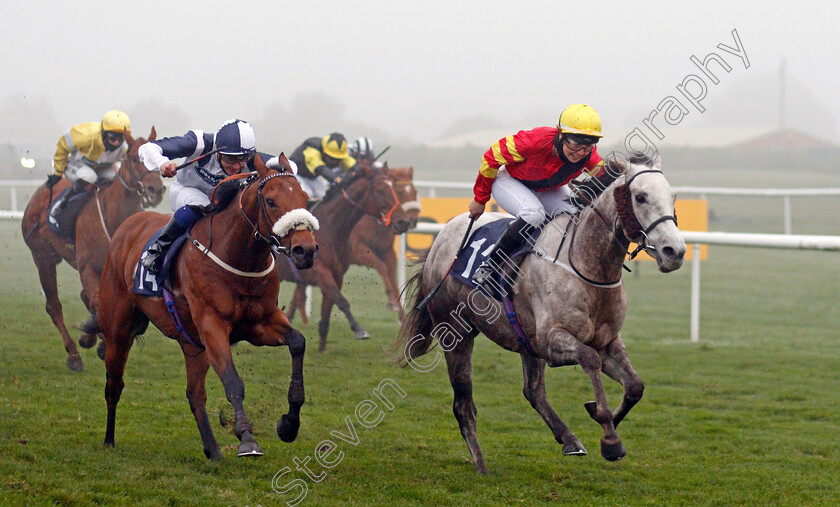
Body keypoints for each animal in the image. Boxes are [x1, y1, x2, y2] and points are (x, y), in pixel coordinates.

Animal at [20, 129, 164, 372]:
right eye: (134, 158)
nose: (156, 190)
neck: (114, 218)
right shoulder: (87, 267)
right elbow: (97, 302)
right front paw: (97, 342)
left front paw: (96, 339)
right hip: (43, 257)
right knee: (54, 306)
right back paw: (74, 354)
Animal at [89, 154, 318, 460]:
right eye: (270, 201)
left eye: (304, 197)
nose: (306, 250)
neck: (237, 256)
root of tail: (128, 224)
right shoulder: (212, 325)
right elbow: (233, 382)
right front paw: (247, 439)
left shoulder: (260, 323)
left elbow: (298, 343)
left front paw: (289, 424)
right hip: (119, 331)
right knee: (114, 384)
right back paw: (109, 440)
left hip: (192, 344)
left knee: (194, 395)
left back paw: (213, 451)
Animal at [394, 153, 684, 474]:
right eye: (641, 197)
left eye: (673, 196)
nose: (675, 251)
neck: (587, 266)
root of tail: (442, 237)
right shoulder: (552, 340)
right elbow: (590, 360)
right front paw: (609, 438)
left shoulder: (607, 341)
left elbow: (635, 386)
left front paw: (601, 417)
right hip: (456, 334)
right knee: (463, 404)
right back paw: (481, 465)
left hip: (525, 341)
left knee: (533, 391)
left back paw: (569, 440)